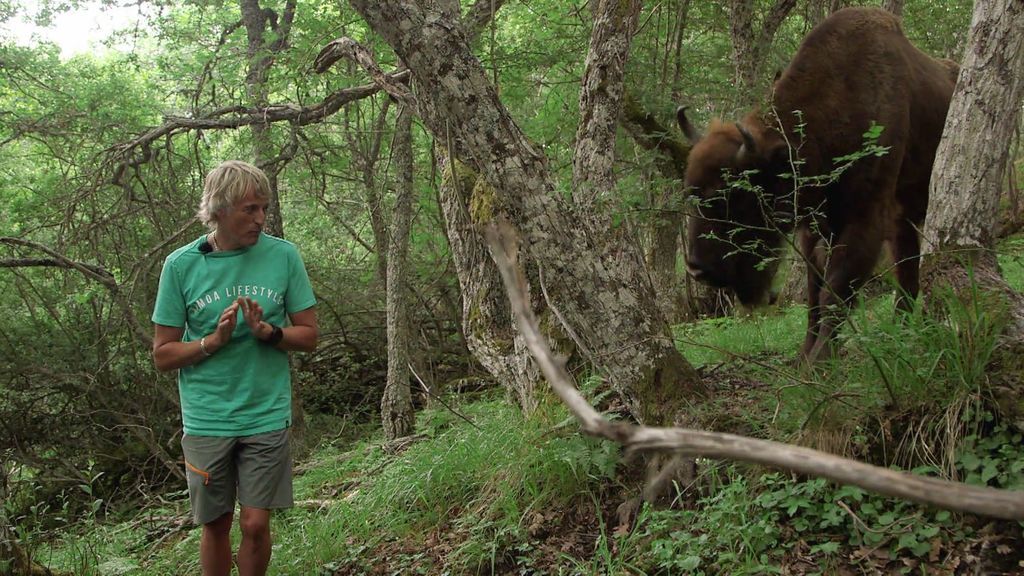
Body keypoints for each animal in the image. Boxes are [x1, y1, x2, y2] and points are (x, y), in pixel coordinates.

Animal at [679, 6, 958, 360]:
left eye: (732, 198)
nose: (697, 269)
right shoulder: (813, 228)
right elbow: (814, 294)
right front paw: (804, 357)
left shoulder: (864, 220)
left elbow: (834, 292)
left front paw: (820, 360)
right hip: (903, 221)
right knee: (907, 275)